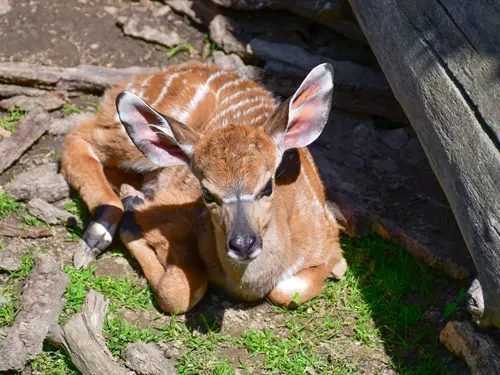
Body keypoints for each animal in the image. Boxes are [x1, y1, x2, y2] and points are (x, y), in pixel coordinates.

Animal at [59, 61, 348, 314]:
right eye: (207, 193)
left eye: (267, 186)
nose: (243, 244)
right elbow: (180, 293)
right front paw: (133, 205)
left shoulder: (331, 245)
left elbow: (290, 289)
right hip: (131, 145)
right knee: (79, 134)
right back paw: (97, 234)